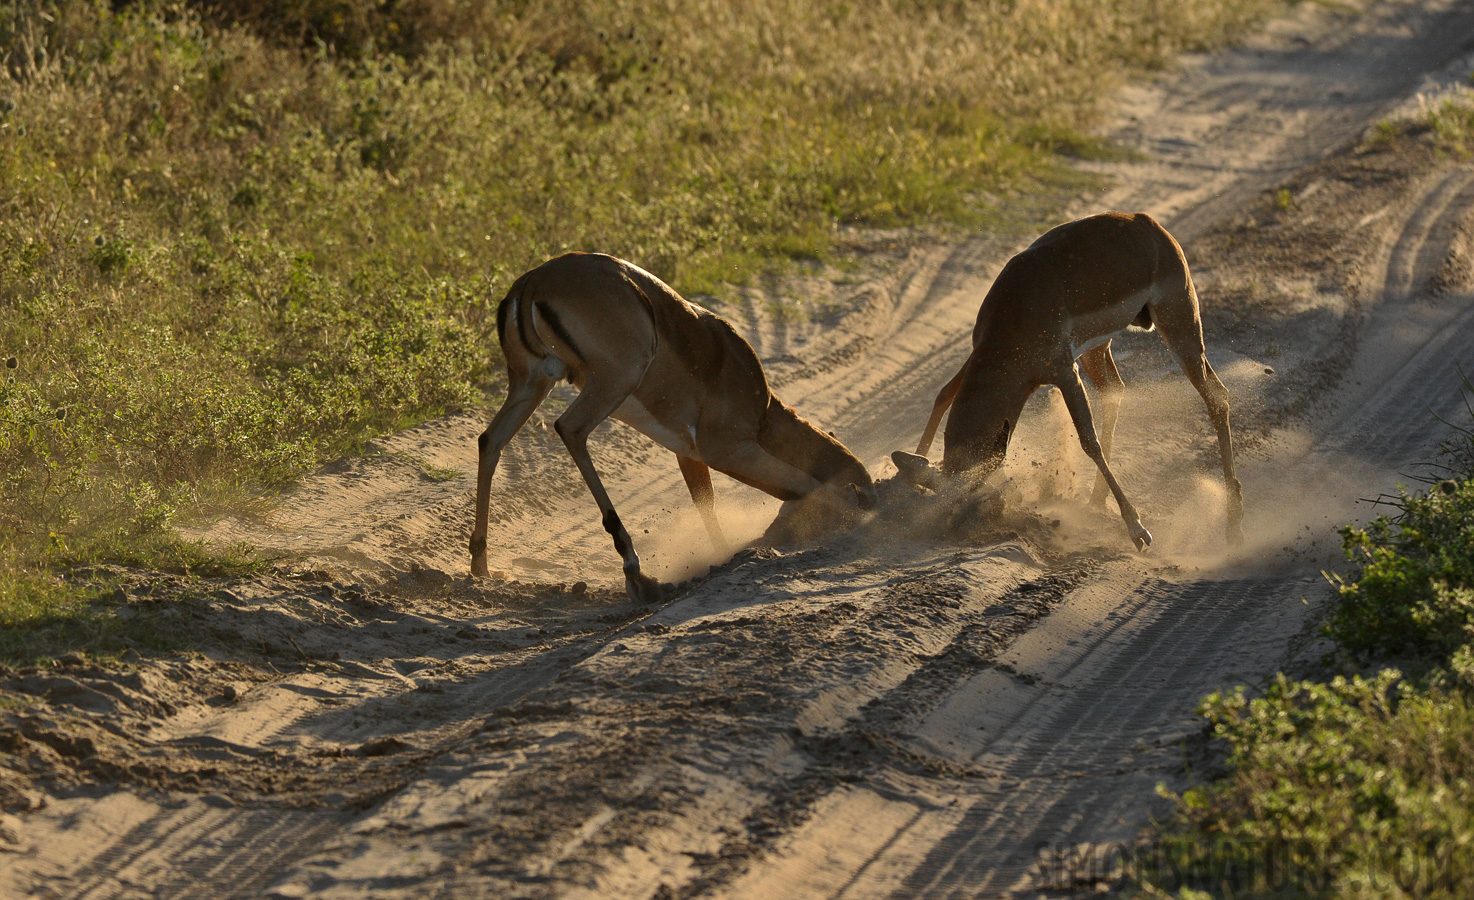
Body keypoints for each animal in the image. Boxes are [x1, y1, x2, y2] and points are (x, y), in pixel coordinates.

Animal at [468, 253, 872, 600]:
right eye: (863, 490)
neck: (764, 412)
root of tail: (532, 282)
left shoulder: (687, 453)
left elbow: (706, 504)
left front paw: (724, 556)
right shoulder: (727, 449)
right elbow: (807, 483)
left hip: (531, 384)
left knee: (490, 440)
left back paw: (481, 565)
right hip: (613, 380)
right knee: (569, 428)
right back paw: (636, 570)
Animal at [884, 213, 1244, 547]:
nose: (959, 521)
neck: (1015, 311)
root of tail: (1151, 226)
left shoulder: (1063, 372)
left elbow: (1088, 441)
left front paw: (1138, 530)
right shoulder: (980, 352)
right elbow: (943, 394)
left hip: (1179, 326)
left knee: (1217, 395)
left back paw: (1233, 525)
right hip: (1097, 350)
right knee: (1116, 392)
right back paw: (1096, 502)